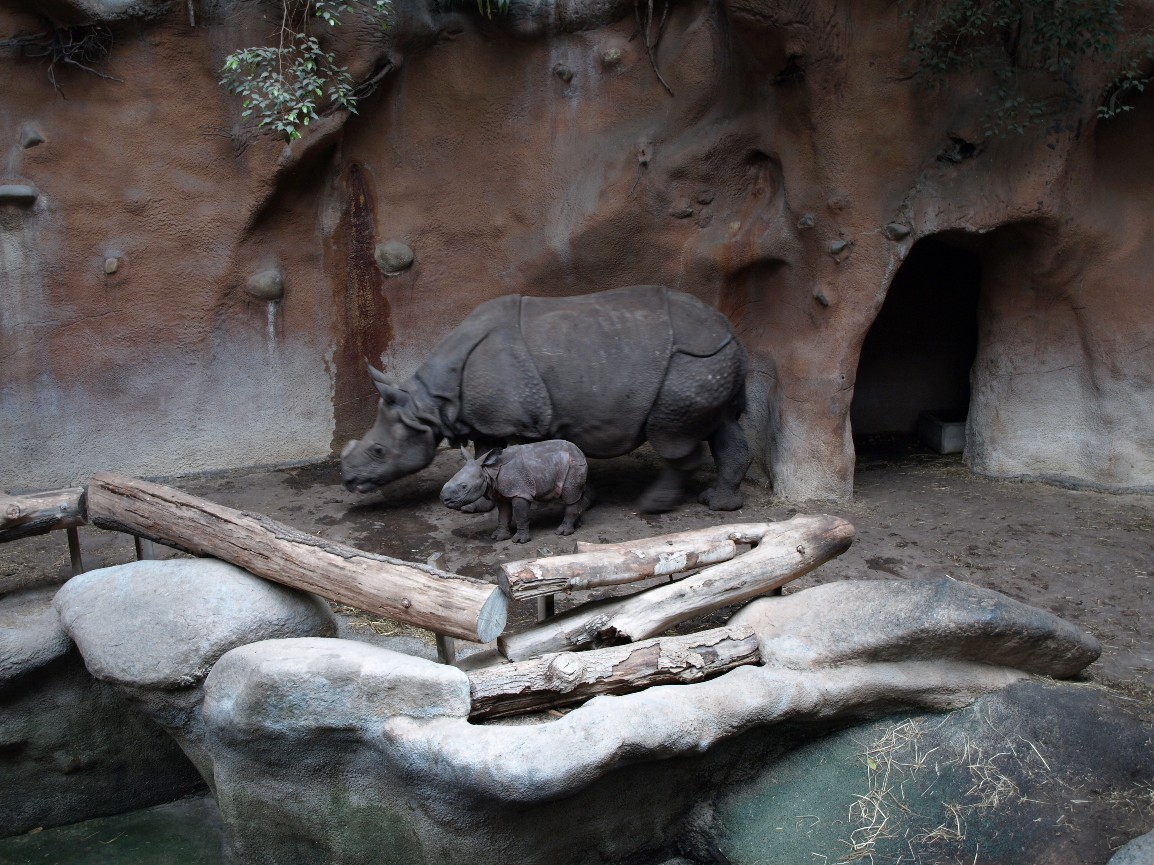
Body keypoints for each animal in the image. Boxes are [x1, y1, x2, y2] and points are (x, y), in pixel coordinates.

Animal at [341, 284, 752, 512]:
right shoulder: (487, 419)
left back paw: (652, 506)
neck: (427, 404)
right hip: (709, 361)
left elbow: (511, 456)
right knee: (721, 424)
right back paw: (720, 504)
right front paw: (478, 506)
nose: (347, 480)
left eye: (378, 450)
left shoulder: (517, 420)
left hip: (687, 363)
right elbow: (483, 456)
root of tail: (730, 328)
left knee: (671, 437)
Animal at [441, 441, 591, 543]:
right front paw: (499, 537)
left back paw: (562, 532)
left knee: (570, 496)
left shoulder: (520, 492)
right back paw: (577, 525)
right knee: (577, 495)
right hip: (570, 463)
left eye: (464, 486)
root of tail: (580, 451)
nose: (444, 499)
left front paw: (519, 541)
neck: (487, 470)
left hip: (573, 465)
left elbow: (520, 515)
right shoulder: (501, 492)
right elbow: (503, 515)